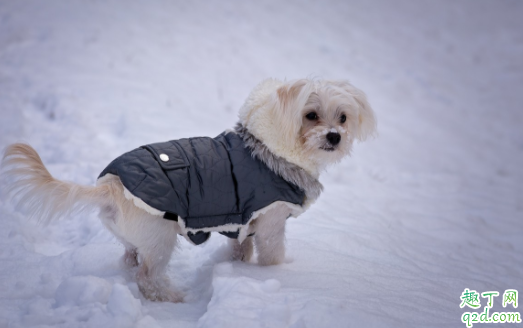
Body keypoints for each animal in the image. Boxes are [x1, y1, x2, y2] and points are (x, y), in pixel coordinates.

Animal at [0, 77, 376, 302]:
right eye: (311, 115)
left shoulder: (242, 225)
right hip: (160, 237)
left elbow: (240, 250)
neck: (267, 150)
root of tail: (111, 186)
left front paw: (238, 266)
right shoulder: (271, 222)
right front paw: (278, 275)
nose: (334, 136)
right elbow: (272, 255)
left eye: (343, 118)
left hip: (135, 239)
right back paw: (169, 297)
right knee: (147, 276)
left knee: (129, 259)